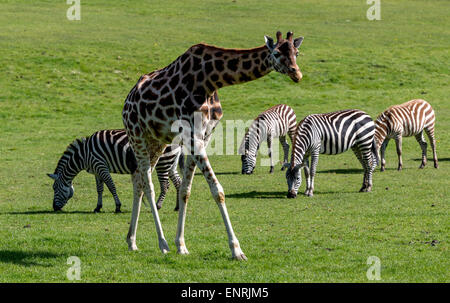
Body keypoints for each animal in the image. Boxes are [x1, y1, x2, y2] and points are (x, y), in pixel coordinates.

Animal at [48, 129, 183, 213]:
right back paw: (177, 207)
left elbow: (111, 186)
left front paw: (118, 206)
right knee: (178, 183)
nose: (54, 208)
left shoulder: (101, 165)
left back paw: (157, 206)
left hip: (163, 162)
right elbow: (100, 189)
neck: (83, 155)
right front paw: (98, 207)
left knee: (165, 185)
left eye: (55, 188)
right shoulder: (96, 170)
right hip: (171, 163)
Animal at [121, 30, 304, 262]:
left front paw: (181, 245)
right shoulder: (192, 136)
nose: (297, 74)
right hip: (136, 134)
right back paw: (161, 243)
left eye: (296, 53)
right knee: (148, 184)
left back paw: (132, 241)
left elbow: (185, 190)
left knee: (138, 179)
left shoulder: (204, 136)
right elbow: (218, 190)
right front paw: (236, 250)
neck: (210, 80)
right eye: (277, 53)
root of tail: (127, 100)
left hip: (156, 140)